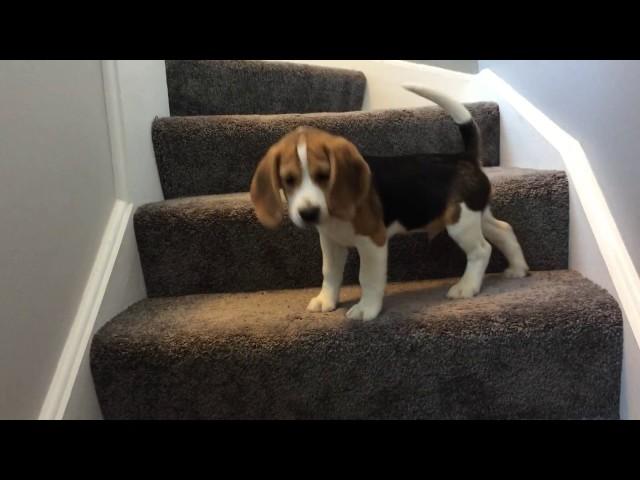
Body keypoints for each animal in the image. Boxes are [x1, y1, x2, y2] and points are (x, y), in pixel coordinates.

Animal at [250, 84, 528, 320]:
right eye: (288, 180)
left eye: (323, 175)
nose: (308, 213)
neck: (334, 212)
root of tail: (464, 157)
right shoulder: (330, 241)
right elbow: (330, 272)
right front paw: (326, 300)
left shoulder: (372, 241)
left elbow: (368, 277)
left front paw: (367, 309)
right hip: (474, 214)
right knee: (504, 230)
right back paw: (518, 268)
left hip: (460, 222)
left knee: (481, 249)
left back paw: (467, 286)